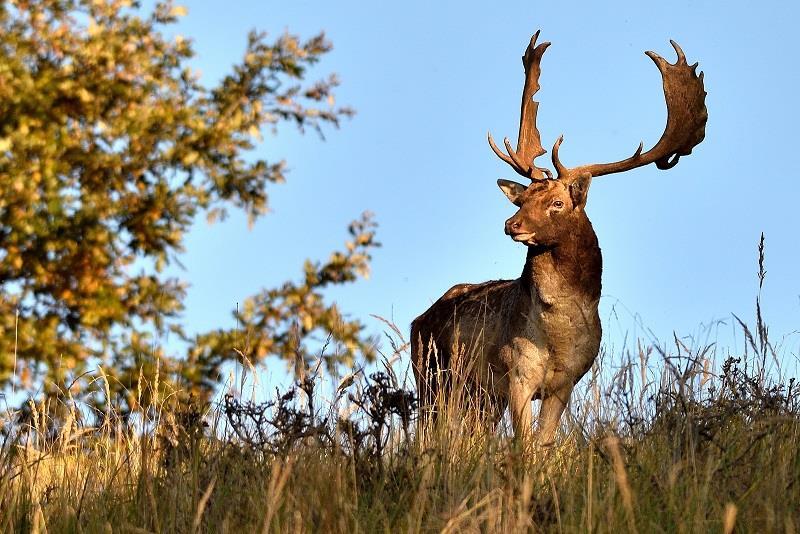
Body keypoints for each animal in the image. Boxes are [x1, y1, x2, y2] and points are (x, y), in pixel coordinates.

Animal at [412, 31, 708, 446]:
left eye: (556, 202)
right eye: (523, 199)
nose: (512, 224)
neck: (558, 338)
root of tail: (419, 319)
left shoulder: (565, 383)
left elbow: (544, 445)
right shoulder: (518, 374)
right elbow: (525, 447)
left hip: (478, 396)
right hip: (433, 377)